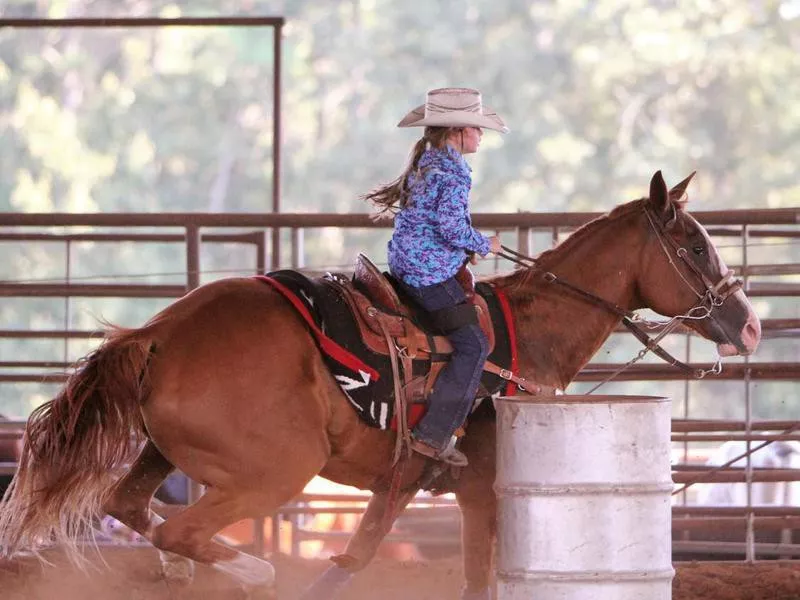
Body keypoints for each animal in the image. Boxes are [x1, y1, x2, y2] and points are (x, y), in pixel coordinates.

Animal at [0, 171, 760, 596]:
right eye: (694, 246)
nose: (749, 325)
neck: (526, 335)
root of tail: (158, 333)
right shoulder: (482, 487)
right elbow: (460, 577)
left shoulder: (419, 485)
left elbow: (370, 553)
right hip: (274, 470)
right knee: (181, 530)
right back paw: (256, 574)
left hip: (167, 453)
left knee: (131, 508)